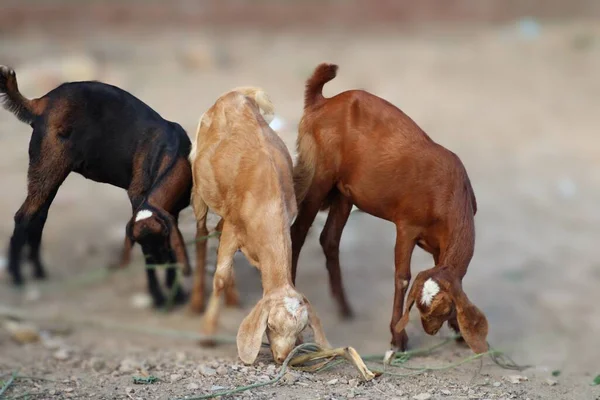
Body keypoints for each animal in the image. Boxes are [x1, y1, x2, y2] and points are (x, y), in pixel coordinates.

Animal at [0, 65, 192, 306]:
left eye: (162, 241)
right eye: (143, 246)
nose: (157, 262)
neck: (171, 153)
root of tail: (41, 102)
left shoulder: (169, 212)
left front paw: (174, 292)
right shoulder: (138, 196)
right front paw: (163, 296)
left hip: (50, 172)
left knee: (39, 217)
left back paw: (39, 272)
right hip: (47, 167)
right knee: (23, 216)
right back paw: (17, 277)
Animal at [189, 88, 328, 366]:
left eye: (300, 329)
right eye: (271, 326)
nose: (281, 357)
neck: (266, 200)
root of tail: (238, 94)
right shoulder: (233, 229)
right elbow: (219, 278)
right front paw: (207, 333)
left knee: (215, 229)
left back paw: (232, 298)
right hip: (199, 188)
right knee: (202, 233)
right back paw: (197, 302)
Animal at [290, 64, 488, 354]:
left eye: (442, 308)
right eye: (421, 307)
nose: (429, 330)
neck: (449, 192)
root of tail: (320, 102)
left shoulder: (440, 243)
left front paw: (458, 331)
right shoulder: (407, 226)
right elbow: (402, 277)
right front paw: (398, 337)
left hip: (344, 193)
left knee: (329, 240)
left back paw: (345, 308)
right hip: (318, 175)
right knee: (298, 232)